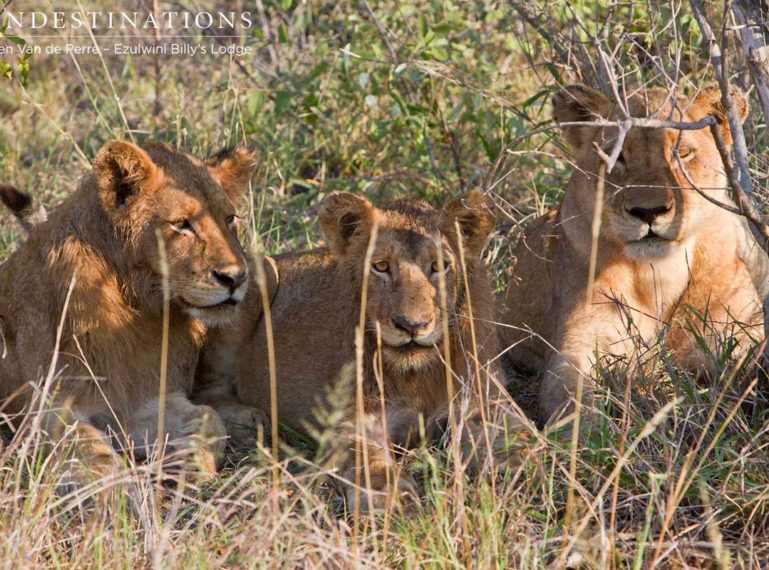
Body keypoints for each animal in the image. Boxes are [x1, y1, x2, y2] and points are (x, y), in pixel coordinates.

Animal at [0, 140, 262, 482]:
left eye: (230, 219)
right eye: (181, 224)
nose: (236, 278)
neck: (137, 307)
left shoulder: (142, 400)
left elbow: (209, 417)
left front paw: (194, 458)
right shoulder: (45, 407)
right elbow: (87, 448)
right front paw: (114, 488)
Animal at [196, 190, 536, 506]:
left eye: (439, 266)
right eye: (381, 266)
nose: (411, 326)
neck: (416, 375)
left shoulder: (484, 399)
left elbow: (517, 436)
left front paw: (525, 470)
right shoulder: (353, 420)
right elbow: (370, 462)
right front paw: (394, 500)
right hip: (256, 272)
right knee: (207, 387)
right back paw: (251, 418)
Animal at [496, 83, 764, 422]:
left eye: (682, 153)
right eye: (616, 156)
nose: (648, 211)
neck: (660, 271)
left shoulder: (738, 332)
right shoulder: (580, 343)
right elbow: (570, 394)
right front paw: (585, 430)